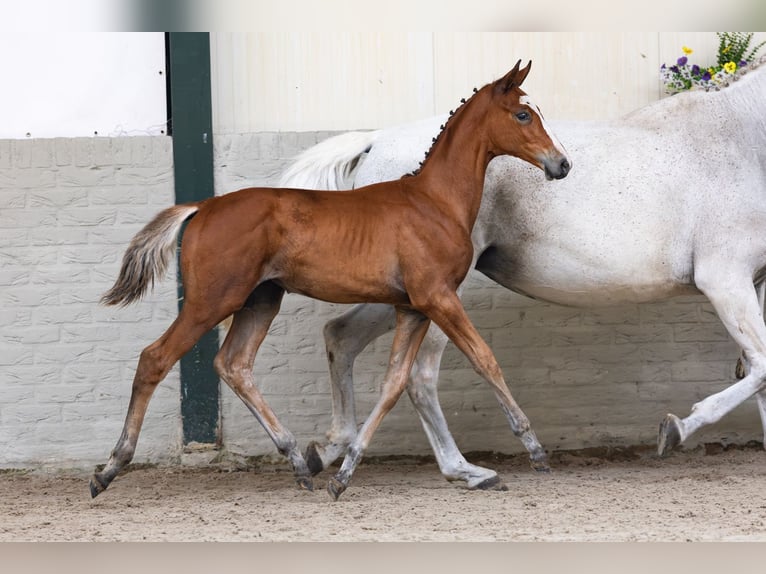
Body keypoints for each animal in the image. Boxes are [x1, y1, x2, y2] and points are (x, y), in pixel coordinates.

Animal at [91, 61, 571, 500]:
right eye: (523, 115)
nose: (562, 164)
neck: (434, 201)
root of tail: (202, 207)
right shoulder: (438, 298)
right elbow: (484, 359)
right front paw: (534, 449)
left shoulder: (412, 307)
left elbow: (394, 383)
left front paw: (343, 474)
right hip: (211, 301)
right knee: (155, 359)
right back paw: (109, 469)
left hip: (261, 300)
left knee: (234, 365)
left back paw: (298, 462)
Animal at [280, 60, 766, 490]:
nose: (560, 165)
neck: (740, 140)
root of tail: (375, 141)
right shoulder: (725, 281)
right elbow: (760, 367)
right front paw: (675, 429)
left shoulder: (753, 283)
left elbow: (755, 372)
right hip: (435, 297)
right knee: (419, 377)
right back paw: (465, 470)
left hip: (403, 297)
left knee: (342, 336)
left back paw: (326, 450)